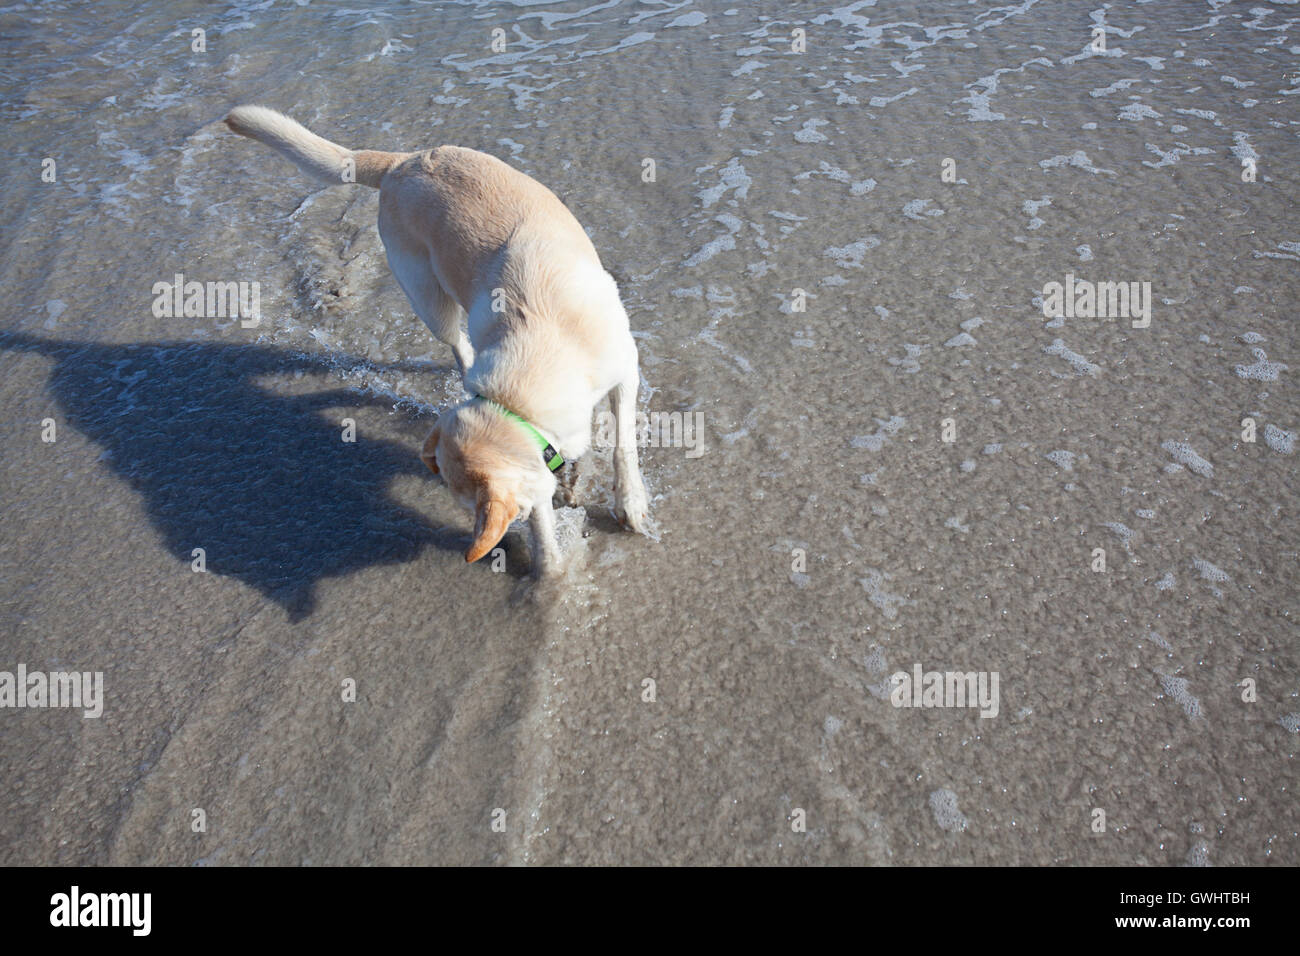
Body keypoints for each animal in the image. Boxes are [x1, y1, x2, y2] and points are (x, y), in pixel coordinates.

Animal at [226, 108, 650, 580]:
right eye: (519, 516)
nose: (490, 541)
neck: (542, 348)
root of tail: (399, 162)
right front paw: (549, 562)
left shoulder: (625, 370)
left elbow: (624, 444)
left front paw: (630, 502)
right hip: (428, 298)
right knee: (457, 345)